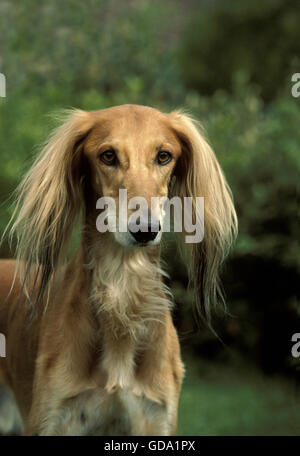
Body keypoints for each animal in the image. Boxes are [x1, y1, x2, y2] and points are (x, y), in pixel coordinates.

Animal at [0, 104, 237, 434]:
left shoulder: (156, 417)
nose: (145, 230)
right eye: (108, 155)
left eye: (164, 155)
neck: (123, 293)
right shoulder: (54, 417)